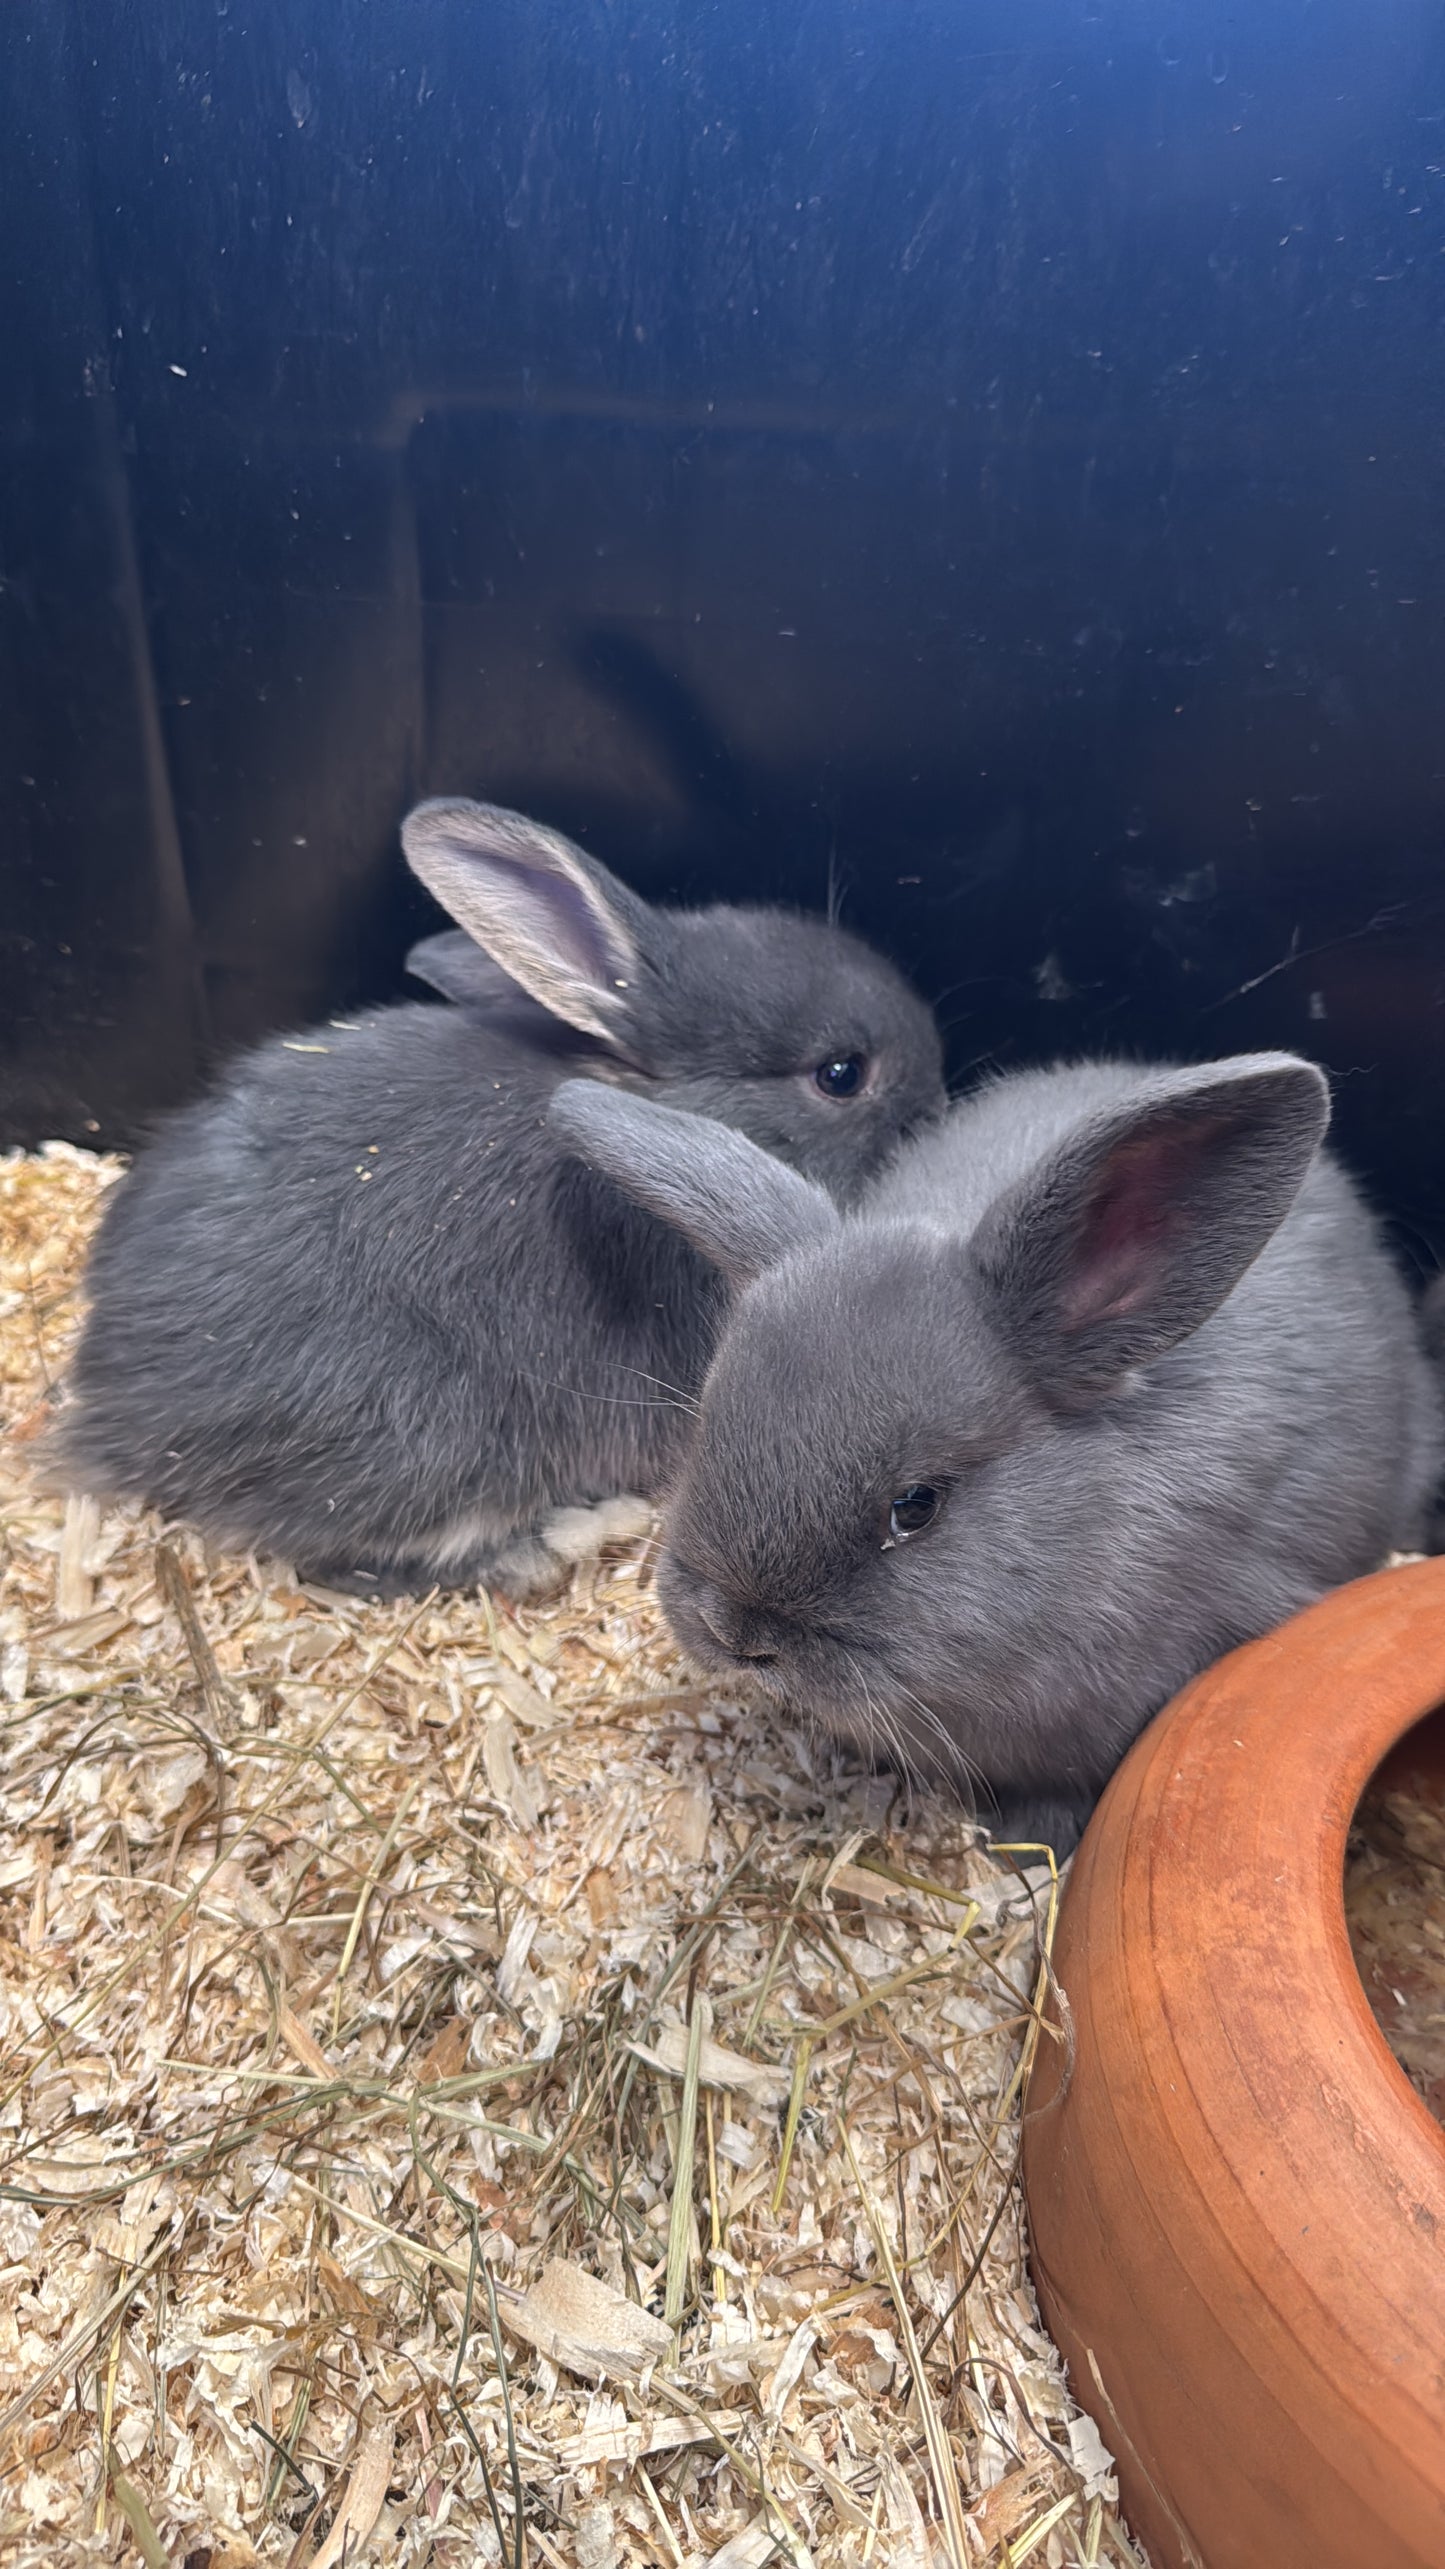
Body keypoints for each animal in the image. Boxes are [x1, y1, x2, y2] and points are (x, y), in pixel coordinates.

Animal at [52, 799, 945, 1599]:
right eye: (840, 1074)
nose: (939, 1099)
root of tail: (113, 1414)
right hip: (436, 1451)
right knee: (353, 1563)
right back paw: (557, 1544)